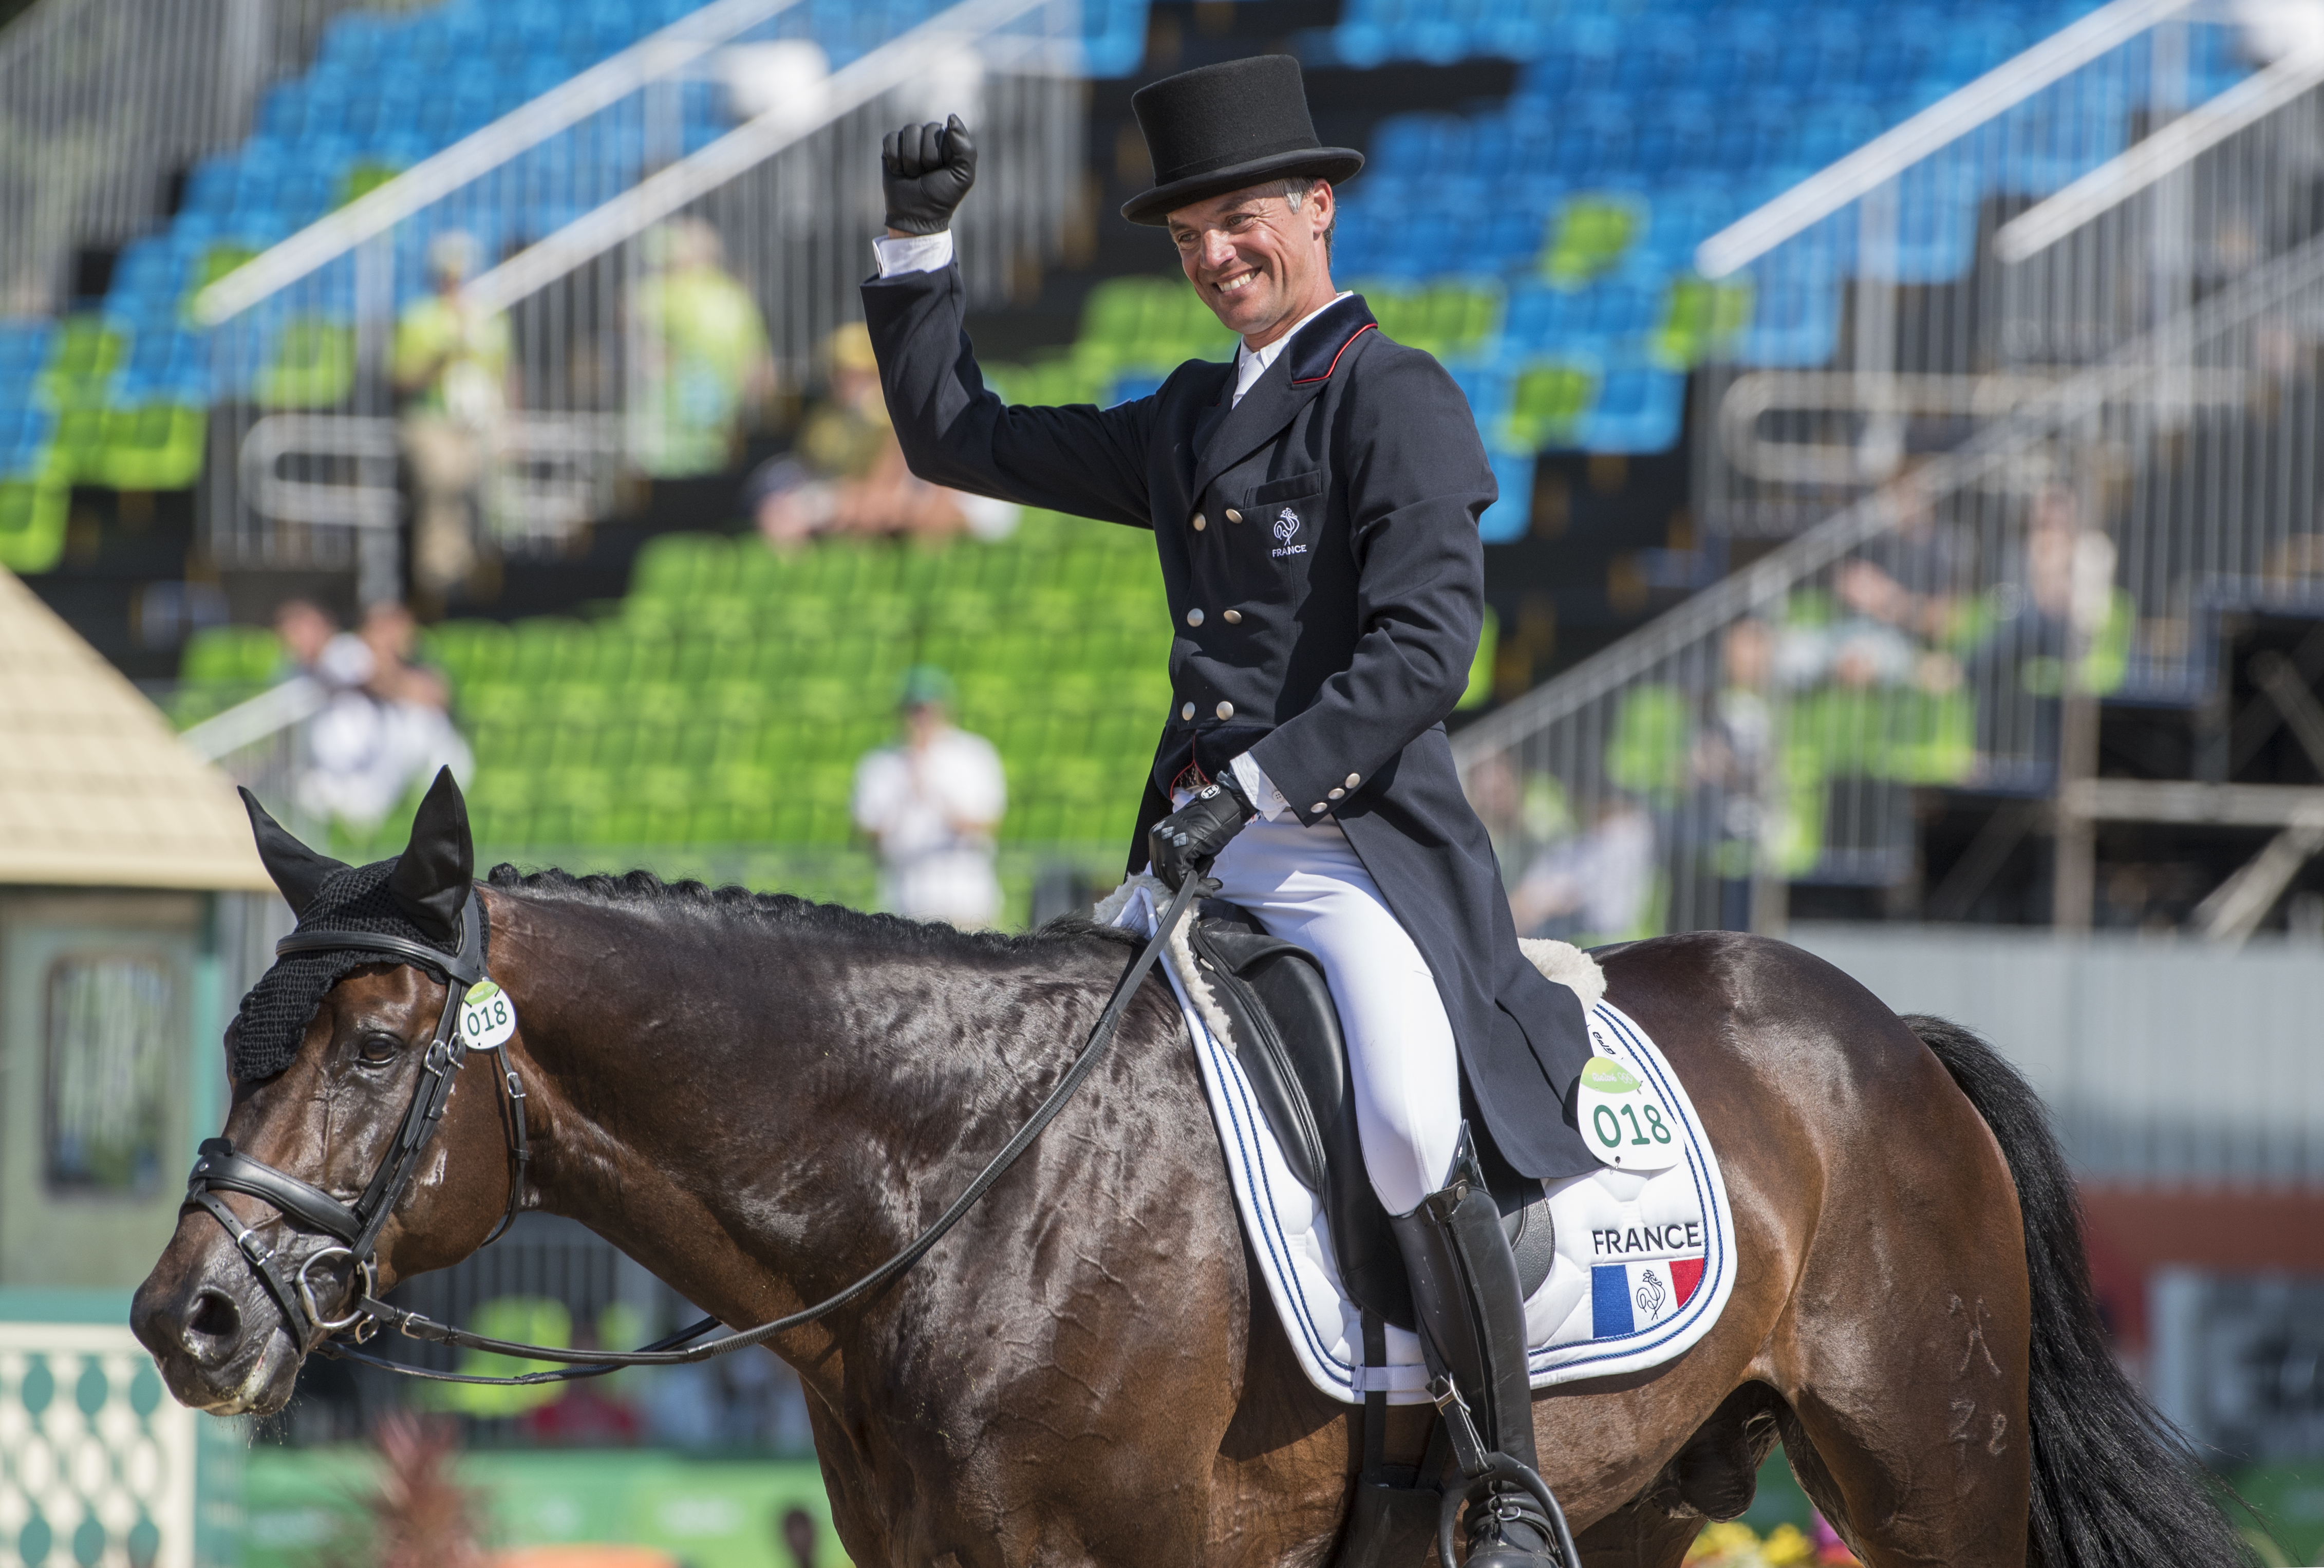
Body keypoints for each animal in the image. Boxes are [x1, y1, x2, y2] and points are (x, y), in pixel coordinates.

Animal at [132, 804, 2250, 1561]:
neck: (956, 1189)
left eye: (377, 1047)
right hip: (1653, 1488)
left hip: (1924, 1470)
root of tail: (1885, 1030)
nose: (186, 1318)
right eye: (236, 1036)